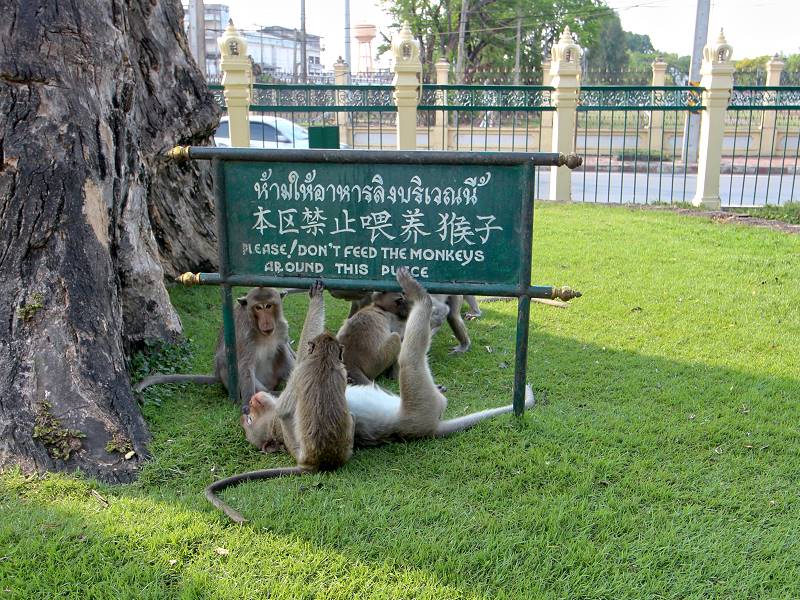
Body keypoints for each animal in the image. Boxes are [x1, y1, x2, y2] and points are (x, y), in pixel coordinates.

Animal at [134, 287, 294, 403]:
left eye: (268, 305)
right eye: (258, 308)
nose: (266, 322)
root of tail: (217, 376)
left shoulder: (282, 328)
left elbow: (285, 347)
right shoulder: (245, 334)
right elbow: (245, 365)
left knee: (282, 350)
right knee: (228, 360)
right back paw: (272, 394)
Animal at [205, 269, 534, 523]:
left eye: (248, 418)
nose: (248, 406)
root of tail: (427, 428)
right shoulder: (293, 396)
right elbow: (303, 365)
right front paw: (317, 301)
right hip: (419, 401)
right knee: (409, 356)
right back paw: (420, 296)